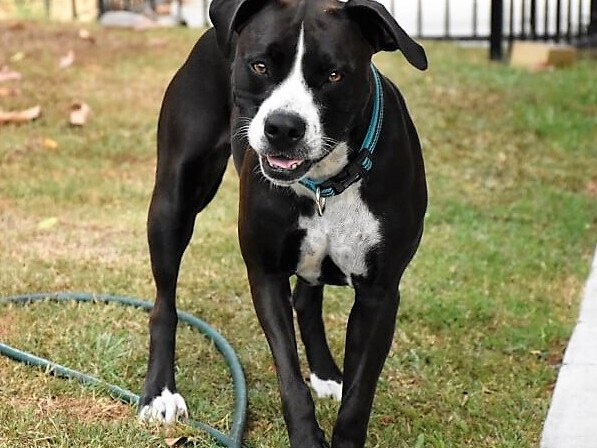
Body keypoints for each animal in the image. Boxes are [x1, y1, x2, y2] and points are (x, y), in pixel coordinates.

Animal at [139, 0, 428, 444]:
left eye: (334, 74)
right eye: (260, 66)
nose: (283, 127)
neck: (326, 181)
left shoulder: (379, 294)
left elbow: (359, 397)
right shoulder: (266, 274)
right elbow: (288, 376)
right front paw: (307, 438)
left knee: (307, 299)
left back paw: (326, 374)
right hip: (173, 205)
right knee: (163, 306)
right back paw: (160, 393)